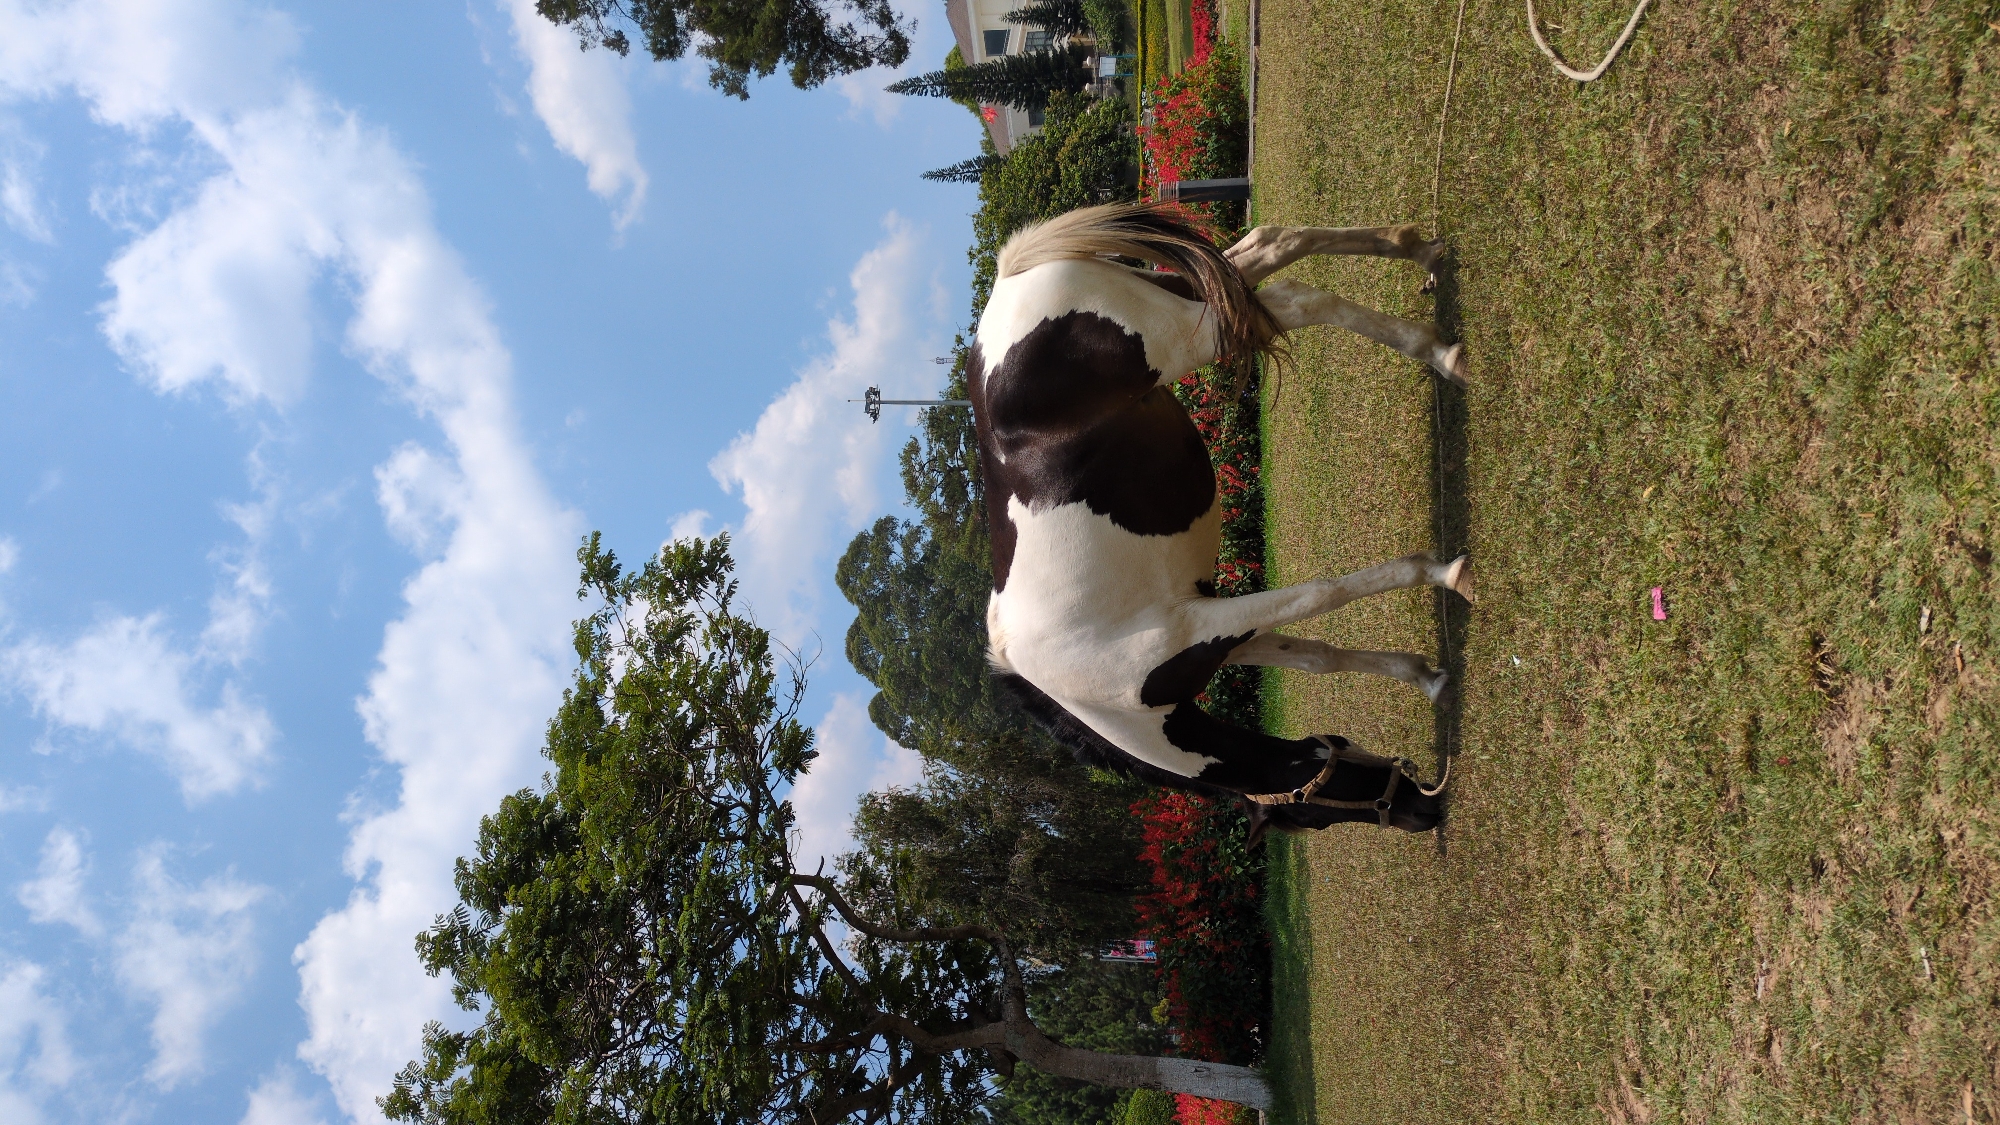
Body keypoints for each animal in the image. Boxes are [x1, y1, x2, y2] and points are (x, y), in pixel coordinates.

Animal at [969, 202, 1474, 839]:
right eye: (1311, 816)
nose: (1424, 812)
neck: (1100, 699)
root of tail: (1009, 280)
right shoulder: (1221, 638)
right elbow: (1316, 653)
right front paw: (1428, 677)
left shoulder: (1201, 625)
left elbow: (1320, 594)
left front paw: (1446, 574)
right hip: (1184, 292)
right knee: (1273, 246)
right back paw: (1421, 254)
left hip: (1191, 331)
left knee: (1291, 298)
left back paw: (1443, 355)